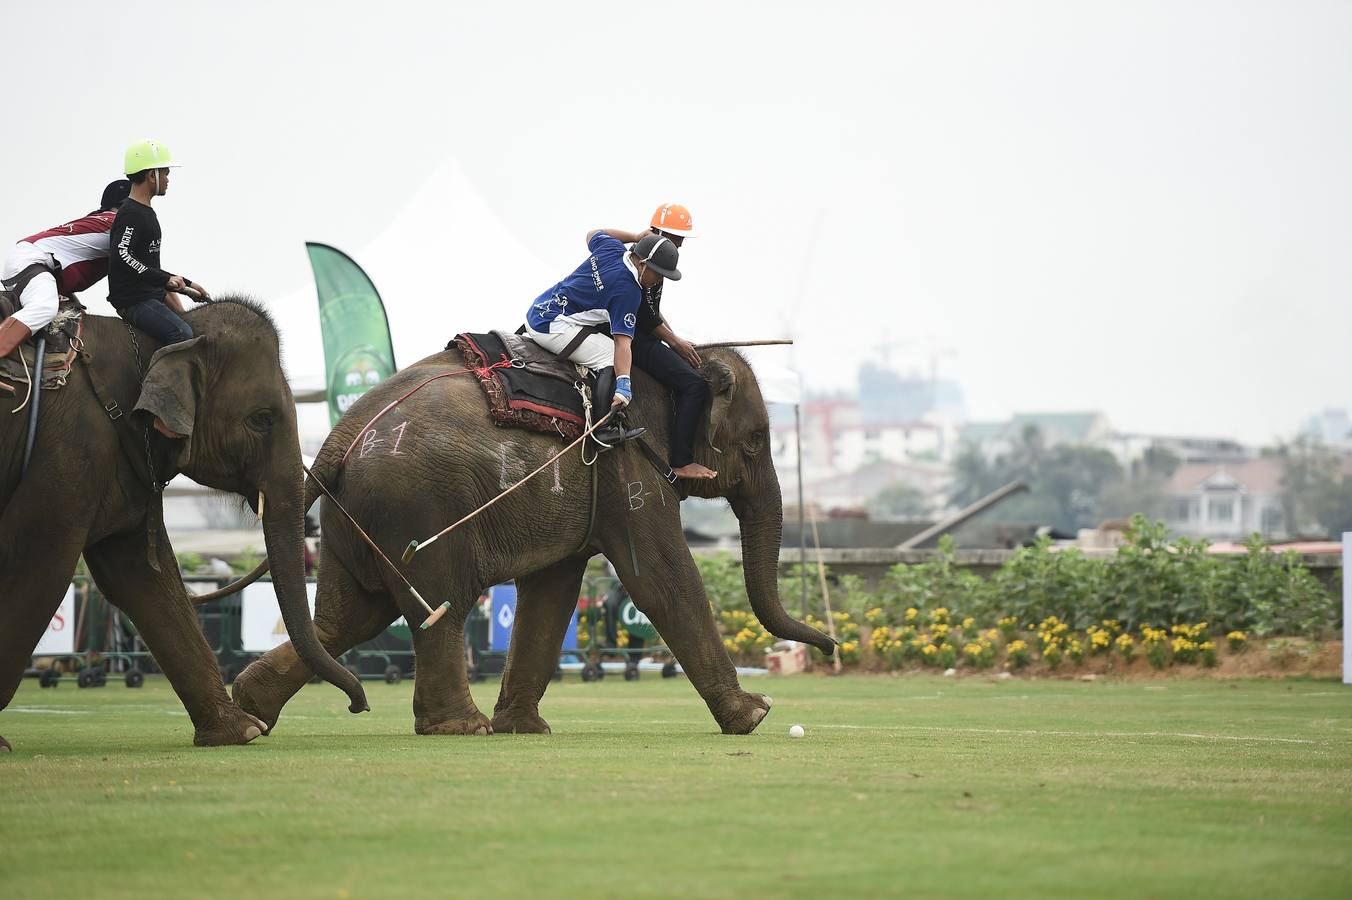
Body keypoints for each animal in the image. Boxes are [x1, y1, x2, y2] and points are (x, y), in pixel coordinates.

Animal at [0, 298, 367, 753]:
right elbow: (39, 567)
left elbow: (143, 578)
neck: (154, 340)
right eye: (261, 419)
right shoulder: (71, 448)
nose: (359, 707)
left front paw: (239, 731)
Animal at [229, 345, 834, 736]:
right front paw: (755, 715)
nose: (828, 646)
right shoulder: (627, 465)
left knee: (349, 618)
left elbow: (553, 594)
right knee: (438, 607)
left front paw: (524, 728)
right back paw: (461, 728)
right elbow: (663, 581)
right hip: (416, 508)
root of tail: (338, 436)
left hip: (353, 520)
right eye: (754, 441)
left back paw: (253, 710)